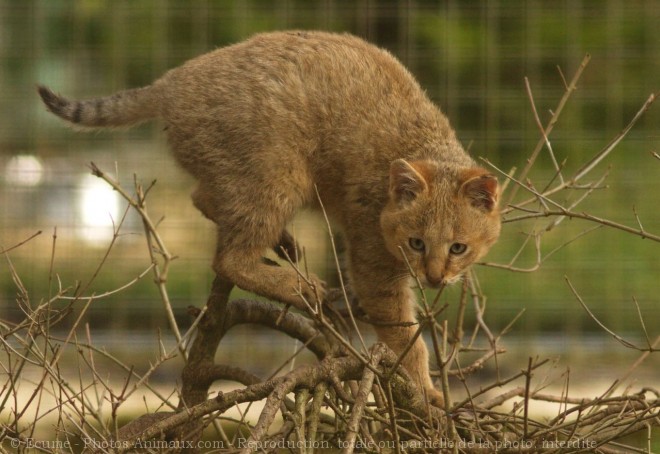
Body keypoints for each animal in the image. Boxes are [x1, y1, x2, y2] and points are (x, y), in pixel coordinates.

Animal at [37, 29, 500, 404]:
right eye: (416, 243)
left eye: (459, 248)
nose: (435, 278)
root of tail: (169, 82)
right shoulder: (374, 265)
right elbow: (406, 336)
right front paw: (426, 391)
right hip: (277, 178)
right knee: (230, 259)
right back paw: (298, 284)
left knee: (204, 198)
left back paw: (283, 243)